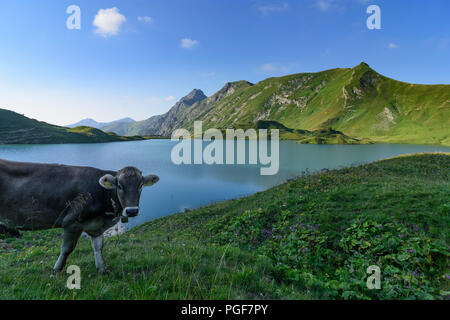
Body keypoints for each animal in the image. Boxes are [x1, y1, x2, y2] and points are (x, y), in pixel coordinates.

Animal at [0, 159, 160, 274]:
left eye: (141, 185)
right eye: (119, 185)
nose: (132, 211)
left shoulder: (96, 226)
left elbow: (98, 247)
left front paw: (102, 269)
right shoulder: (72, 222)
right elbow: (66, 249)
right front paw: (57, 269)